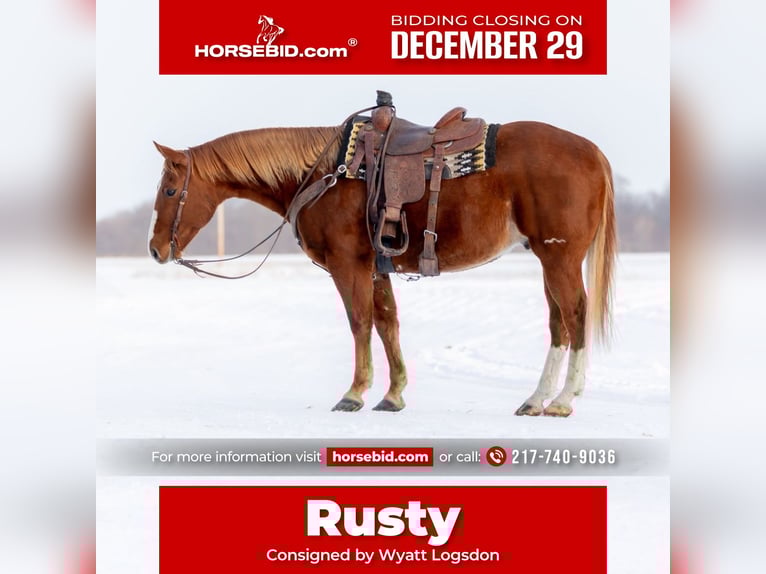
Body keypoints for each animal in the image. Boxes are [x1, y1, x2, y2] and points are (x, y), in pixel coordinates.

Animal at [147, 109, 616, 418]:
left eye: (170, 191)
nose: (155, 249)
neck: (324, 172)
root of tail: (592, 151)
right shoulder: (376, 267)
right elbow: (388, 322)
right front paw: (393, 395)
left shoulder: (347, 265)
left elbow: (360, 322)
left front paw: (355, 393)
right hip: (546, 258)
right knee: (558, 322)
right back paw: (536, 399)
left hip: (560, 257)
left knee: (575, 314)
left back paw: (563, 400)